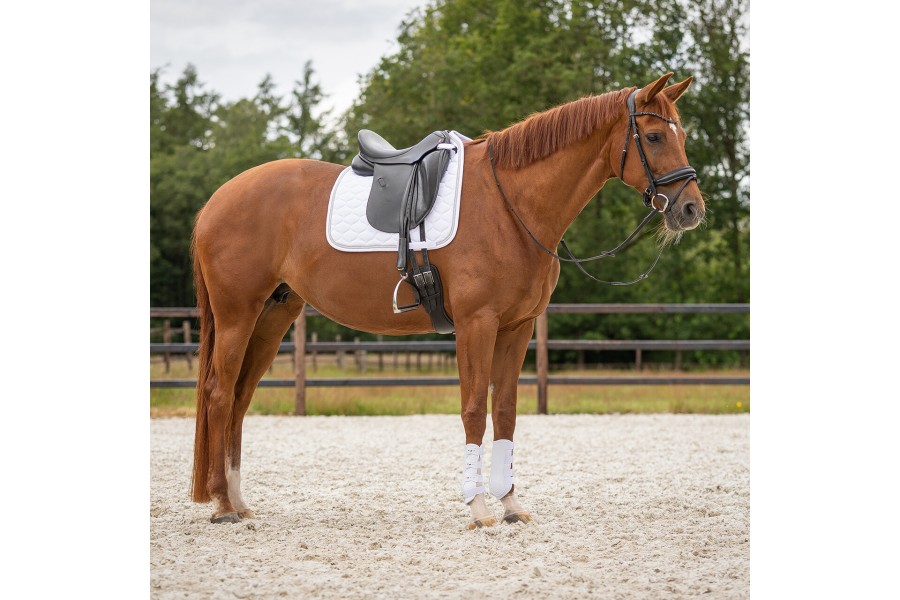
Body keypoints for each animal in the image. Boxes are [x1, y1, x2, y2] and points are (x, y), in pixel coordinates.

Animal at [189, 73, 705, 528]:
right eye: (654, 136)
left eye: (680, 134)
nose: (691, 209)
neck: (510, 204)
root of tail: (218, 199)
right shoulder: (477, 324)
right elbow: (474, 409)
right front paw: (477, 508)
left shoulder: (516, 328)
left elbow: (505, 412)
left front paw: (510, 504)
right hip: (237, 315)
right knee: (219, 393)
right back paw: (222, 505)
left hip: (273, 316)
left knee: (240, 398)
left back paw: (238, 500)